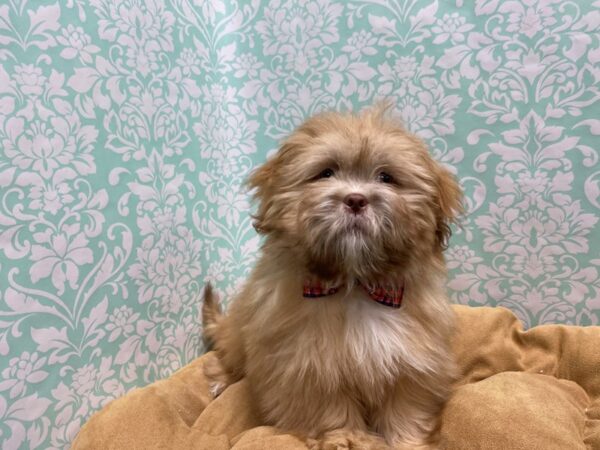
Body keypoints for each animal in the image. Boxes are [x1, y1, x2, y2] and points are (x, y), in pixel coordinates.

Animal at [204, 104, 462, 446]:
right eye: (326, 173)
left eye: (386, 177)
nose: (355, 200)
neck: (355, 284)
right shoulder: (309, 367)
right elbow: (331, 409)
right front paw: (347, 440)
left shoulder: (414, 361)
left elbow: (405, 408)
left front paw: (408, 442)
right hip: (239, 330)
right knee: (229, 354)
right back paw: (221, 380)